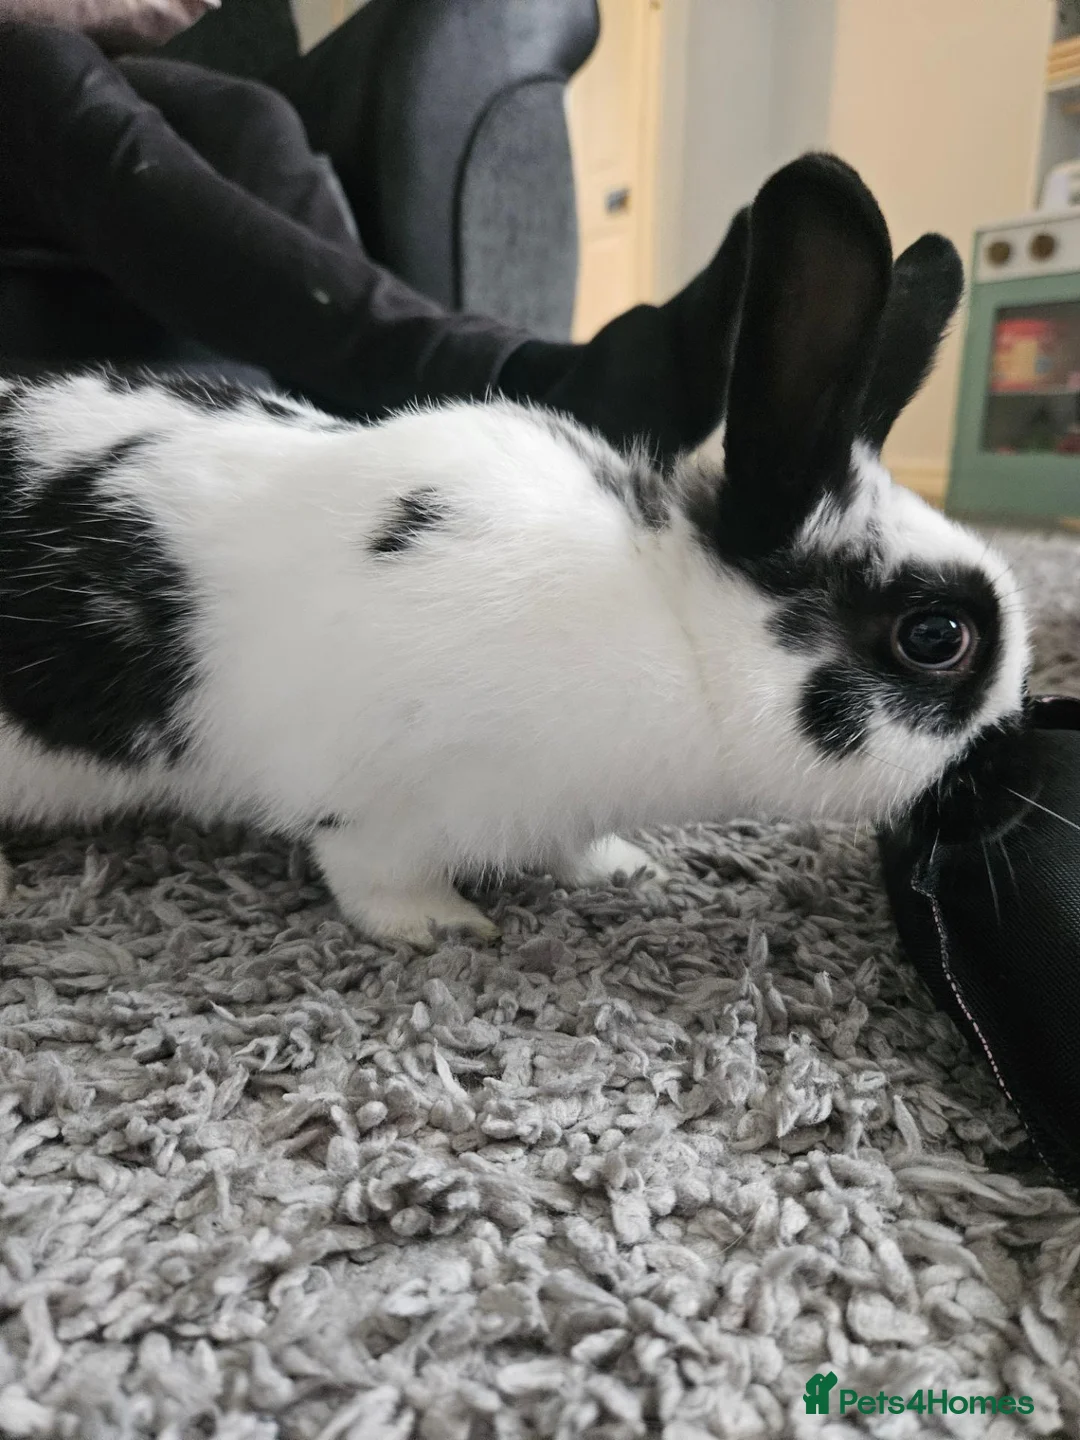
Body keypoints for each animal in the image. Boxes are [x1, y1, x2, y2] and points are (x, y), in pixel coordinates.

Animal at [0, 154, 1030, 947]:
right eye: (936, 637)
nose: (1010, 776)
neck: (679, 637)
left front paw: (623, 869)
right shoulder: (371, 797)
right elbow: (371, 873)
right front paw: (441, 929)